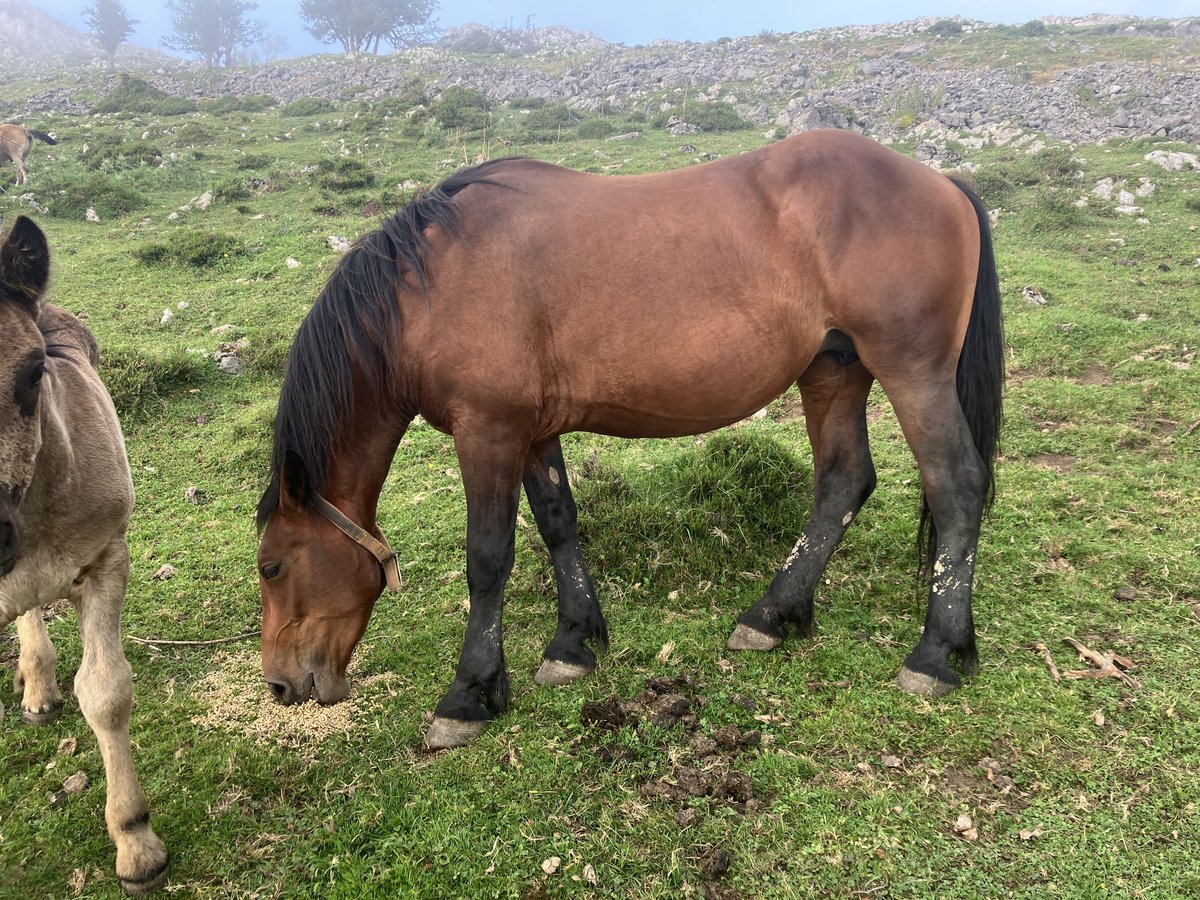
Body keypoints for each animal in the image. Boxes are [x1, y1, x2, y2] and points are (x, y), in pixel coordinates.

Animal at [258, 132, 1008, 753]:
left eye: (271, 566)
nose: (281, 685)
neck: (432, 285)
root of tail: (942, 182)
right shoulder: (531, 432)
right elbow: (558, 525)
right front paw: (573, 644)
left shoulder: (489, 432)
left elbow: (488, 560)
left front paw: (469, 695)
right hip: (834, 371)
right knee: (843, 482)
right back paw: (773, 615)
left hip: (913, 373)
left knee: (957, 486)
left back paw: (936, 654)